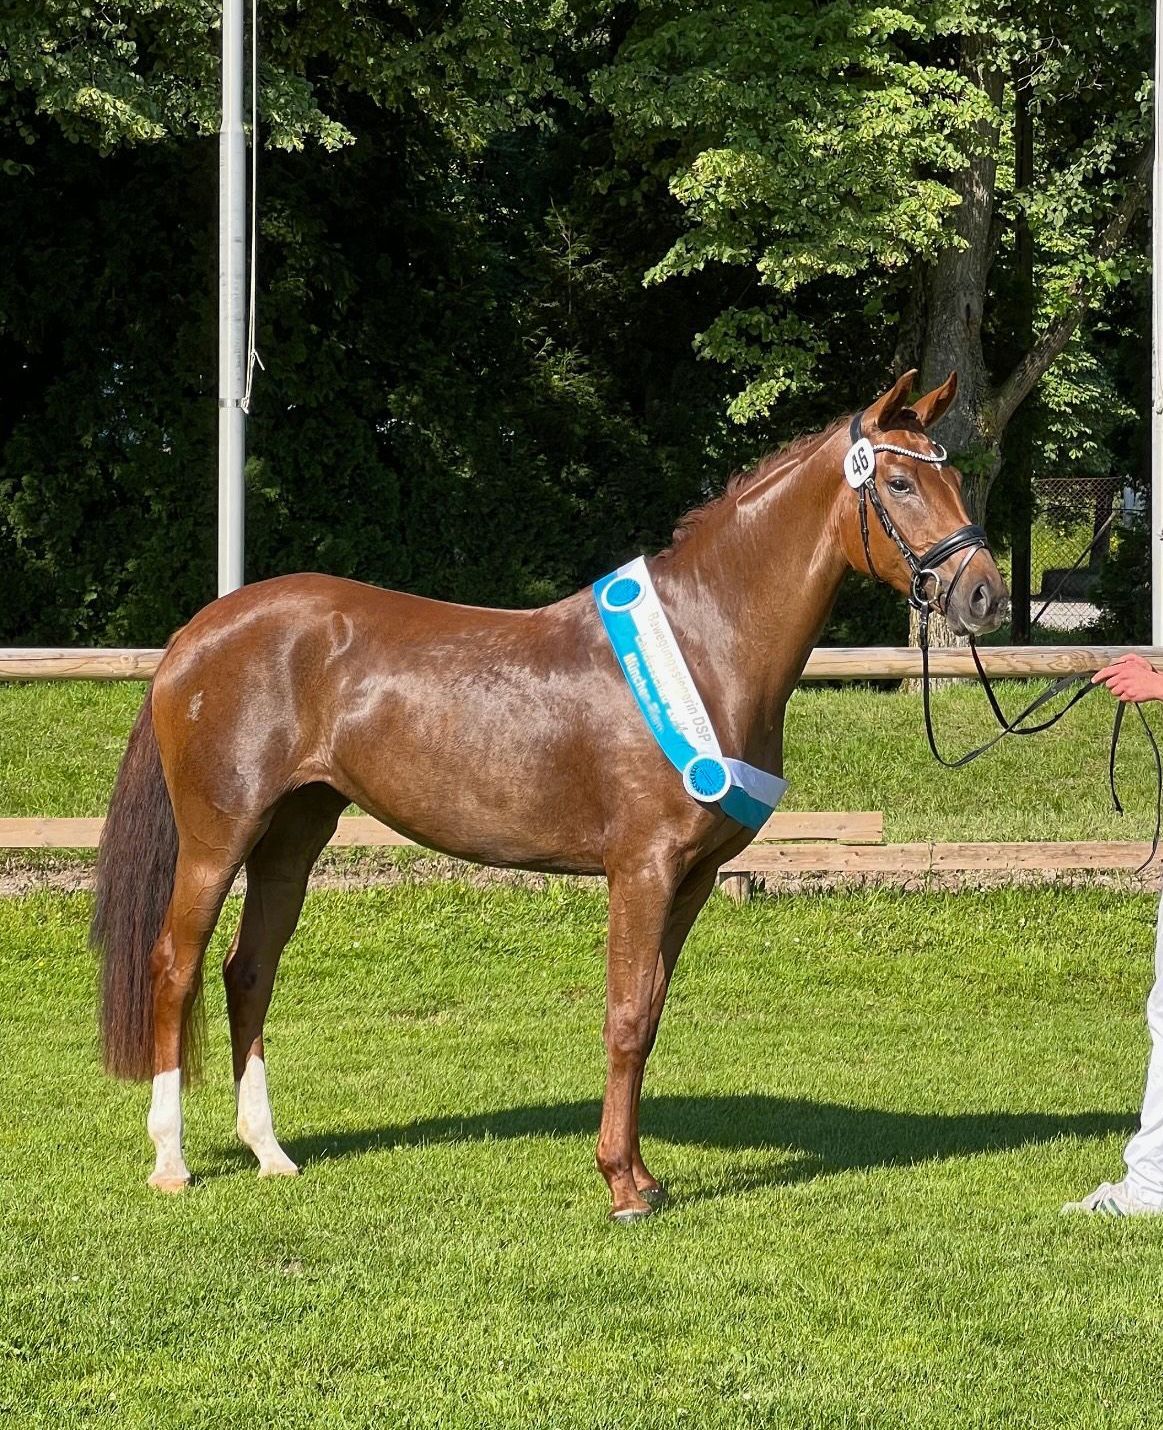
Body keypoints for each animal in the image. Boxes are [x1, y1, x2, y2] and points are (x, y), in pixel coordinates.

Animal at [92, 368, 1008, 1220]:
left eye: (954, 480)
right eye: (898, 483)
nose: (983, 595)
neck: (704, 644)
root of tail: (196, 634)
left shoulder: (692, 880)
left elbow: (650, 1017)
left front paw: (643, 1175)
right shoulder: (640, 870)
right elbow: (624, 1018)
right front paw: (620, 1187)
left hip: (293, 835)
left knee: (249, 971)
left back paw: (270, 1152)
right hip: (218, 838)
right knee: (175, 966)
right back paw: (171, 1162)